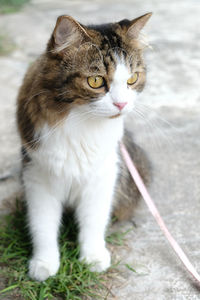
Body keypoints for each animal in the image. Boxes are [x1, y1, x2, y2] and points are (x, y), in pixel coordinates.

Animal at [16, 12, 152, 282]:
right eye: (96, 81)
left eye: (132, 79)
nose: (121, 104)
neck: (80, 122)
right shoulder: (38, 177)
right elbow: (42, 225)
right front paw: (44, 264)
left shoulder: (103, 176)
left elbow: (93, 222)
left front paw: (93, 257)